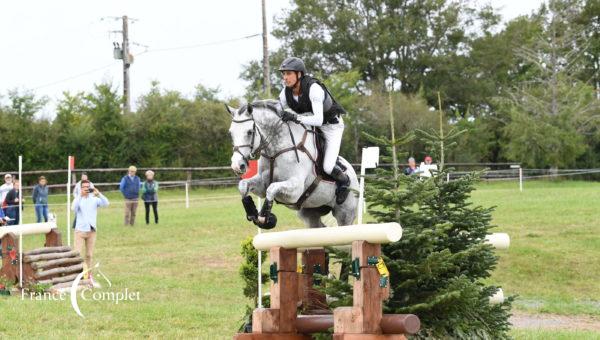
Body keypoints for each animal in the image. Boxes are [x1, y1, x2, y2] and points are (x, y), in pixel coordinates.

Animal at [225, 99, 356, 230]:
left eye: (249, 132)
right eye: (231, 133)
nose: (237, 165)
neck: (275, 152)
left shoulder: (296, 189)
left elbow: (271, 189)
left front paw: (265, 219)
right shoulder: (262, 184)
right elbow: (243, 185)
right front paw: (252, 212)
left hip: (344, 215)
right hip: (310, 213)